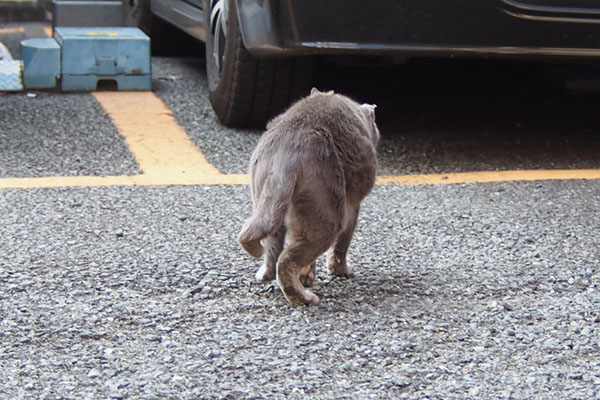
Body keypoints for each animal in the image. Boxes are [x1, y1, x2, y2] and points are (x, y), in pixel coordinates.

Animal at [237, 88, 378, 306]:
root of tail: (285, 157)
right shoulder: (352, 206)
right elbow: (342, 244)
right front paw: (340, 271)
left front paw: (306, 276)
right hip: (327, 215)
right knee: (286, 260)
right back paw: (303, 298)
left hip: (268, 202)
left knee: (271, 249)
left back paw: (266, 275)